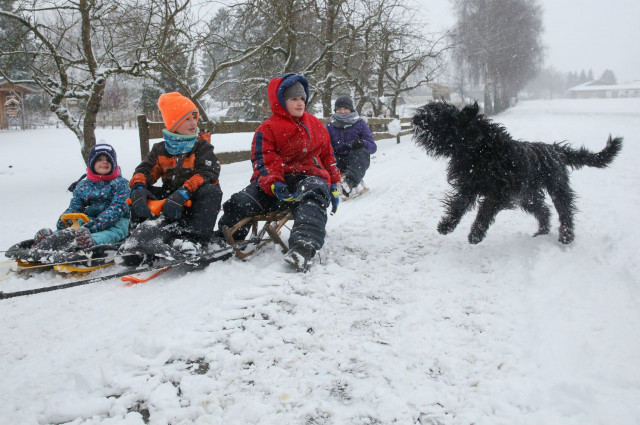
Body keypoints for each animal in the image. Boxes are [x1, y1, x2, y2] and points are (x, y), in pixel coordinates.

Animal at [412, 100, 624, 243]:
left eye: (439, 115)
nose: (415, 118)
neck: (478, 149)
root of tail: (556, 150)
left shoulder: (499, 192)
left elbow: (485, 210)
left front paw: (476, 233)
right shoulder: (468, 186)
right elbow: (458, 205)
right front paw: (446, 225)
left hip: (556, 187)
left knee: (565, 211)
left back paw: (566, 236)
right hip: (528, 195)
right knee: (543, 210)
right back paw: (542, 231)